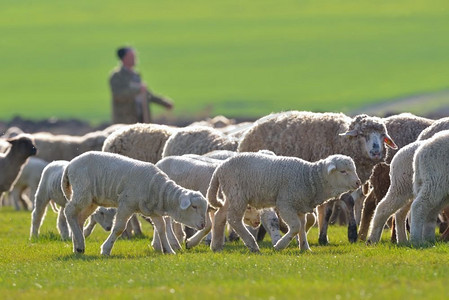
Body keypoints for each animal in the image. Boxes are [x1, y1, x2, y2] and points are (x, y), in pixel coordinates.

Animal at [61, 151, 208, 254]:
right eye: (194, 206)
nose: (202, 224)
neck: (158, 189)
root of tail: (70, 165)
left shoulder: (152, 211)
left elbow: (161, 229)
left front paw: (169, 251)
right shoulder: (127, 204)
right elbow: (119, 228)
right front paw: (106, 249)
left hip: (92, 200)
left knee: (79, 218)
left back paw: (78, 246)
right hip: (82, 191)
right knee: (69, 211)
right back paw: (79, 244)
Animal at [207, 152, 360, 253]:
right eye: (343, 171)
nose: (358, 183)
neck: (309, 178)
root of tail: (219, 169)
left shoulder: (299, 206)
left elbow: (302, 226)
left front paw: (305, 248)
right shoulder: (285, 203)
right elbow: (295, 226)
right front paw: (280, 245)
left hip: (231, 195)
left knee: (220, 215)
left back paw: (216, 247)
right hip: (238, 194)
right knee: (234, 219)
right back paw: (252, 245)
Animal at [238, 111, 396, 245]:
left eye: (382, 135)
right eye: (362, 134)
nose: (376, 152)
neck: (341, 140)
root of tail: (252, 128)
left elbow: (332, 209)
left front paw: (327, 237)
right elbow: (342, 205)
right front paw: (347, 234)